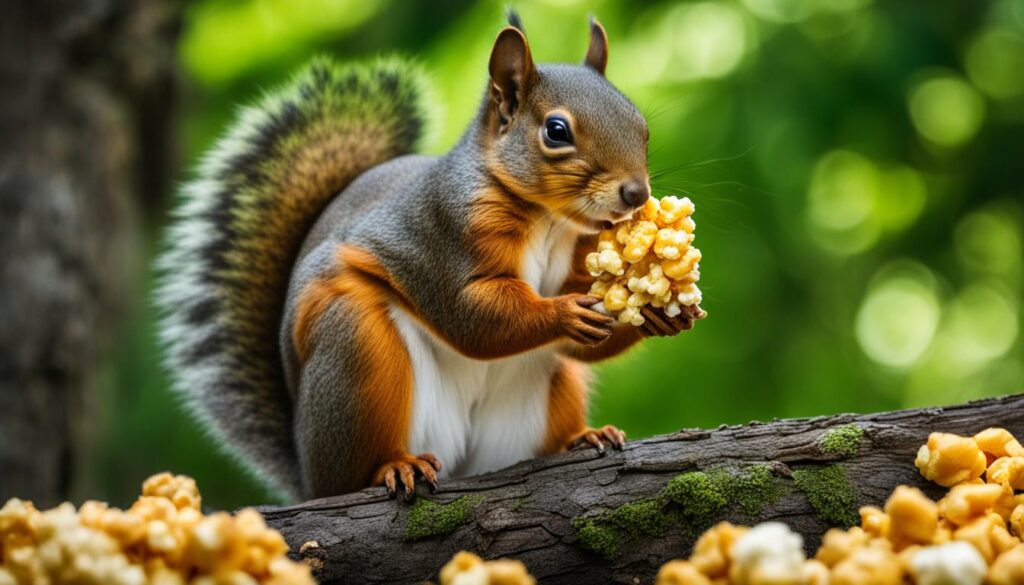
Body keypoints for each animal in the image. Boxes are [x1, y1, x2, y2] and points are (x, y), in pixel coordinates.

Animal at [157, 13, 704, 504]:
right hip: (354, 351)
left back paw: (580, 439)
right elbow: (472, 316)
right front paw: (564, 313)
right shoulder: (441, 236)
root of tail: (307, 474)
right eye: (556, 131)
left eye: (641, 126)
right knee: (351, 472)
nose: (636, 194)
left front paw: (659, 312)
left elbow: (582, 343)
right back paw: (393, 467)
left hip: (541, 400)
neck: (550, 220)